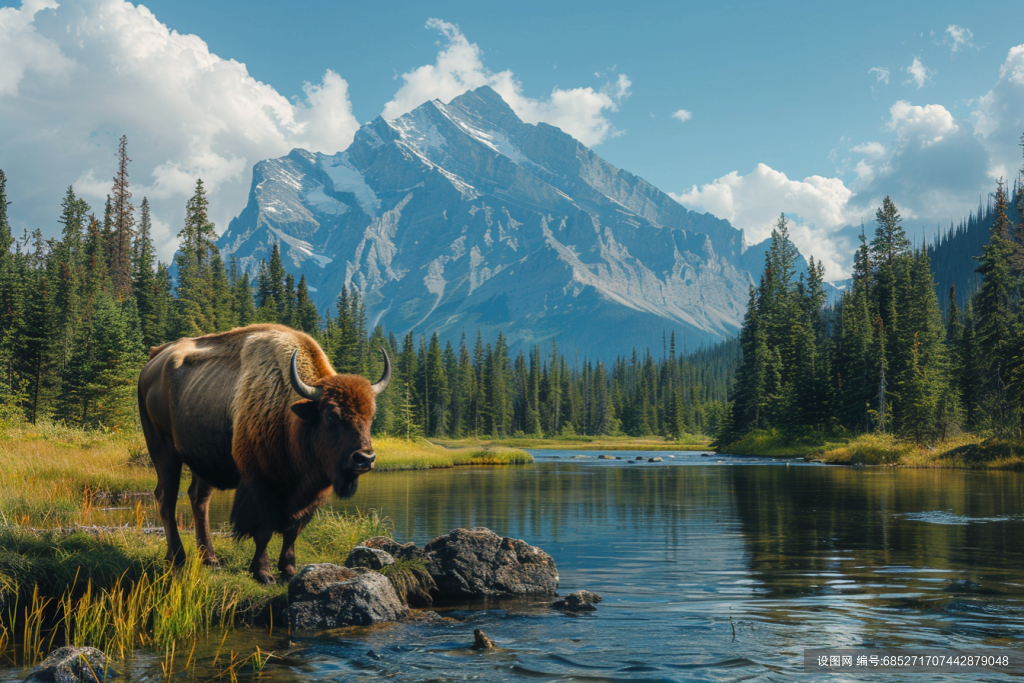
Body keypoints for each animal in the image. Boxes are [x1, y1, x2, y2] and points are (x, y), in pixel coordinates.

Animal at [138, 325, 389, 581]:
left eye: (371, 416)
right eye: (330, 415)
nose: (365, 459)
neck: (291, 415)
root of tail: (154, 360)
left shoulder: (305, 494)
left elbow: (292, 530)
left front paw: (288, 570)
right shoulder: (260, 484)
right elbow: (263, 531)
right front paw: (264, 573)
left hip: (203, 460)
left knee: (198, 499)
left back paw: (210, 559)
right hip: (163, 448)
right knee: (166, 498)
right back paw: (177, 558)